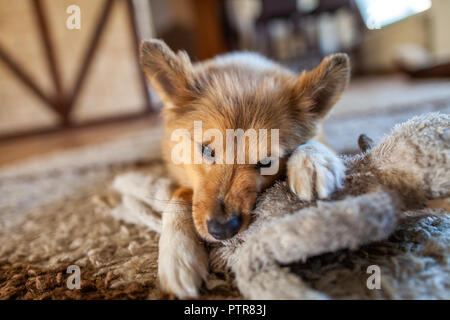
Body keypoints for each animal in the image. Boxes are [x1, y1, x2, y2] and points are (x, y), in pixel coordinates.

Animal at [139, 39, 350, 298]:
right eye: (206, 150)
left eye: (266, 161)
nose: (221, 230)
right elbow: (178, 196)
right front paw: (177, 254)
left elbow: (314, 142)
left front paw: (314, 161)